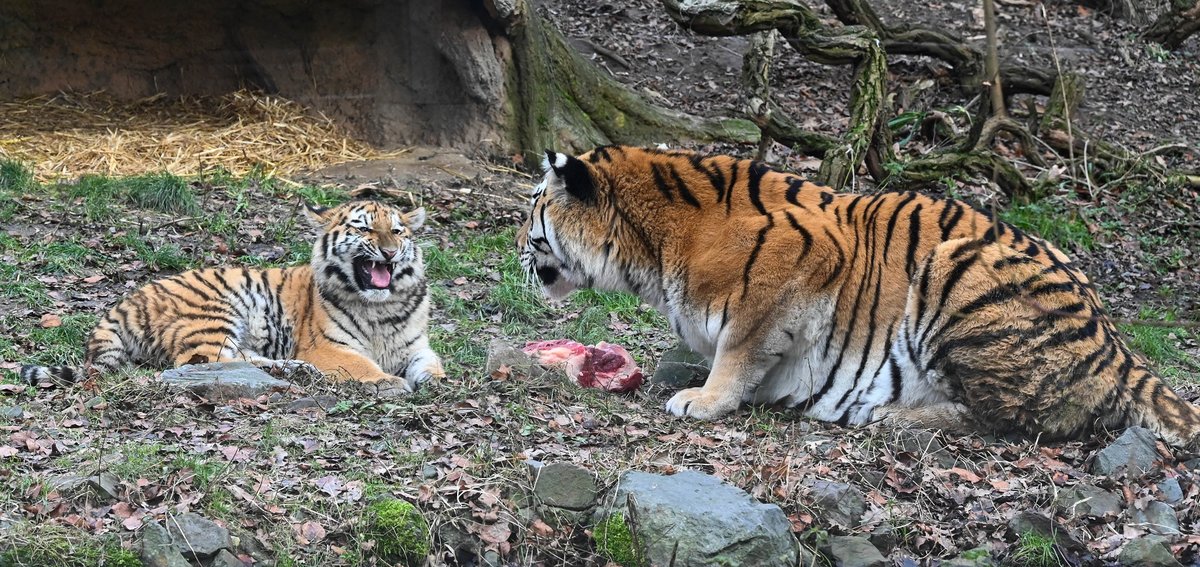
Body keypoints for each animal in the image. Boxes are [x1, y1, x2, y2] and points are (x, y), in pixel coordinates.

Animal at [20, 200, 444, 395]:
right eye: (365, 229)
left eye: (398, 231)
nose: (389, 252)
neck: (380, 306)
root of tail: (122, 303)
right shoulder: (328, 348)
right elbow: (363, 366)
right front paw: (390, 382)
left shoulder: (417, 346)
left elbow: (431, 364)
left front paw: (436, 382)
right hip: (214, 312)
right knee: (204, 363)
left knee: (239, 359)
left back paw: (294, 371)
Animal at [516, 145, 1200, 448]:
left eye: (533, 209)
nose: (517, 250)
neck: (651, 249)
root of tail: (1120, 349)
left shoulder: (801, 261)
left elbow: (739, 350)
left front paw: (704, 399)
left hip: (956, 270)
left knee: (1004, 419)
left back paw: (890, 415)